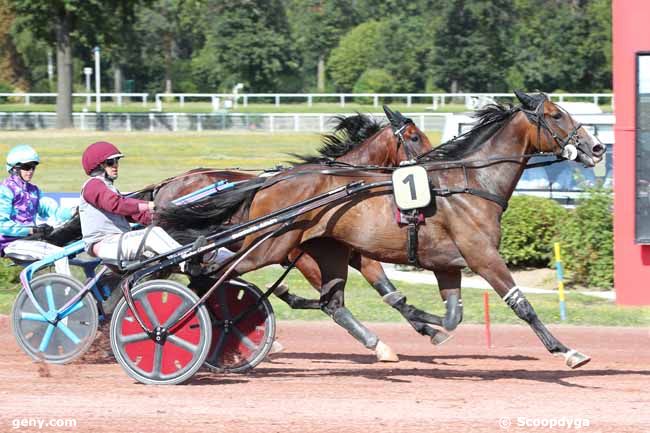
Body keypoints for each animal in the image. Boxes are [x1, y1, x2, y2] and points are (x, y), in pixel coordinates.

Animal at [161, 92, 604, 368]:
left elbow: (450, 314)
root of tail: (269, 182)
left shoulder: (447, 264)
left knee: (330, 302)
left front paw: (431, 329)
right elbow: (521, 304)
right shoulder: (482, 257)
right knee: (210, 271)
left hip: (324, 251)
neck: (469, 183)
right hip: (269, 246)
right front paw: (566, 350)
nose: (596, 147)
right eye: (556, 115)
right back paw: (184, 324)